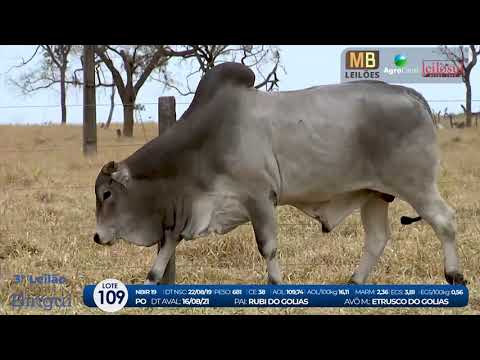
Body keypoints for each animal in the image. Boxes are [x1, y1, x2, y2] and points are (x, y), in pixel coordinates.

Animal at [93, 63, 464, 286]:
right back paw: (354, 283)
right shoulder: (189, 212)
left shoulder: (259, 198)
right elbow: (166, 249)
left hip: (417, 185)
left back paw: (455, 274)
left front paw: (275, 286)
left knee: (445, 221)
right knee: (376, 238)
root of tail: (411, 94)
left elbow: (267, 247)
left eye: (107, 194)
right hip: (374, 195)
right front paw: (150, 281)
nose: (97, 237)